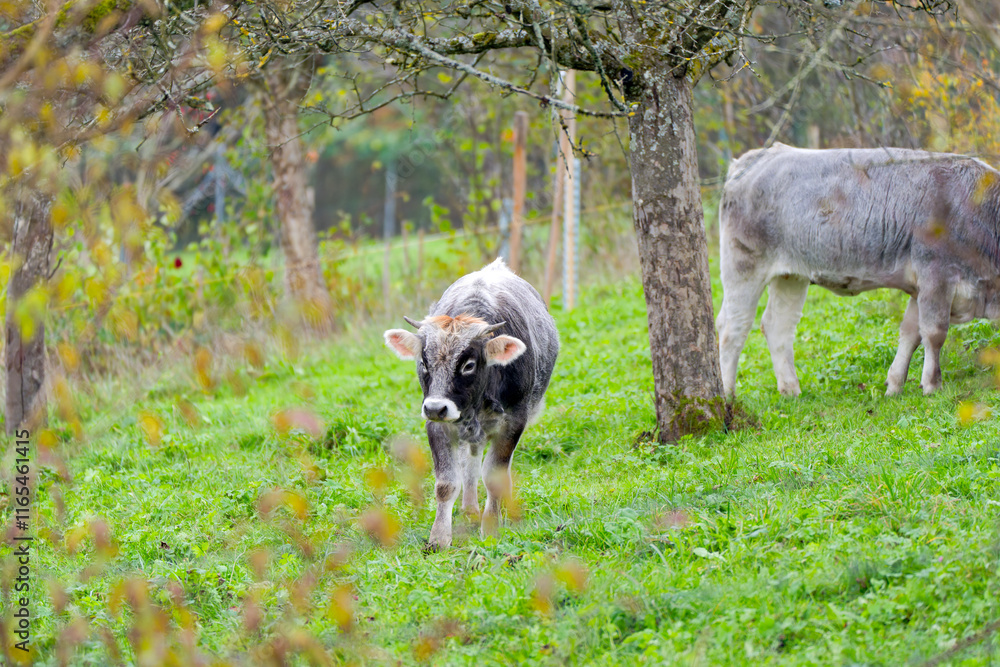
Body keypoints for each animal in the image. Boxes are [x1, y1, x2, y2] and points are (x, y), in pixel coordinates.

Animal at [383, 258, 559, 548]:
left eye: (469, 365)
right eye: (424, 363)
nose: (436, 407)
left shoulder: (513, 421)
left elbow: (495, 475)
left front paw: (491, 529)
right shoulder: (437, 426)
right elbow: (446, 483)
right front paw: (439, 538)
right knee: (471, 464)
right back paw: (469, 510)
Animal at [717, 143, 1000, 399]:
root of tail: (755, 157)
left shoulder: (920, 287)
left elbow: (911, 334)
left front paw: (895, 385)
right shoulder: (936, 275)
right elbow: (934, 332)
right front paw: (932, 385)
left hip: (791, 276)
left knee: (777, 325)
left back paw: (791, 391)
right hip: (742, 265)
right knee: (733, 328)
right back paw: (727, 395)